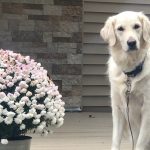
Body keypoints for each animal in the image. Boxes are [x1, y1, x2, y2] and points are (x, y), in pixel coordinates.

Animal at [101, 11, 150, 149]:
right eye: (120, 29)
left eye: (137, 26)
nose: (131, 42)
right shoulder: (118, 108)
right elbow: (115, 139)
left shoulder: (147, 109)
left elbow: (140, 143)